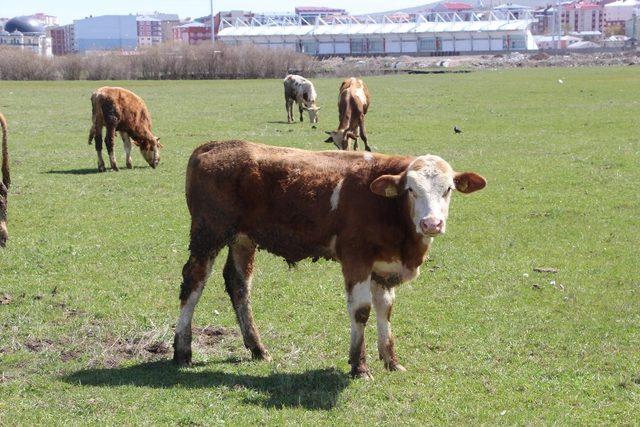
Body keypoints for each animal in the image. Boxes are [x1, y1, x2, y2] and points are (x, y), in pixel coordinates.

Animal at [174, 140, 484, 382]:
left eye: (448, 189)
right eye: (410, 189)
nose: (431, 223)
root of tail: (214, 145)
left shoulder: (383, 267)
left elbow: (385, 310)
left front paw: (391, 360)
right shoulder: (356, 258)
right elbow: (361, 311)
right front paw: (359, 366)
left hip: (242, 239)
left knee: (238, 284)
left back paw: (257, 348)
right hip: (208, 232)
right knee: (193, 282)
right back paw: (182, 350)